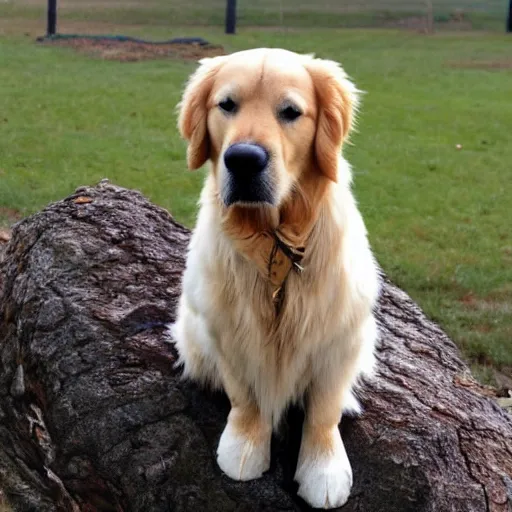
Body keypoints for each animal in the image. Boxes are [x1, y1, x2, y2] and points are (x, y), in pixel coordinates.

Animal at [172, 49, 380, 508]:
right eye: (226, 105)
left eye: (291, 112)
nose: (243, 159)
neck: (275, 250)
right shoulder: (225, 329)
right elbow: (244, 394)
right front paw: (244, 445)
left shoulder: (341, 332)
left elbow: (323, 408)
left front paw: (324, 468)